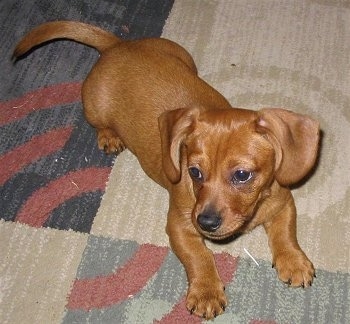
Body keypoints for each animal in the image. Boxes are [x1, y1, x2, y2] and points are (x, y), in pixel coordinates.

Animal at [13, 20, 320, 318]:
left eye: (242, 175)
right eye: (194, 172)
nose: (206, 222)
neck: (253, 211)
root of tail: (117, 46)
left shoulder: (284, 204)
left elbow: (286, 234)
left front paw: (293, 261)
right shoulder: (180, 226)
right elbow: (199, 256)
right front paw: (207, 291)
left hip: (184, 56)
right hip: (95, 109)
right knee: (100, 124)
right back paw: (109, 136)